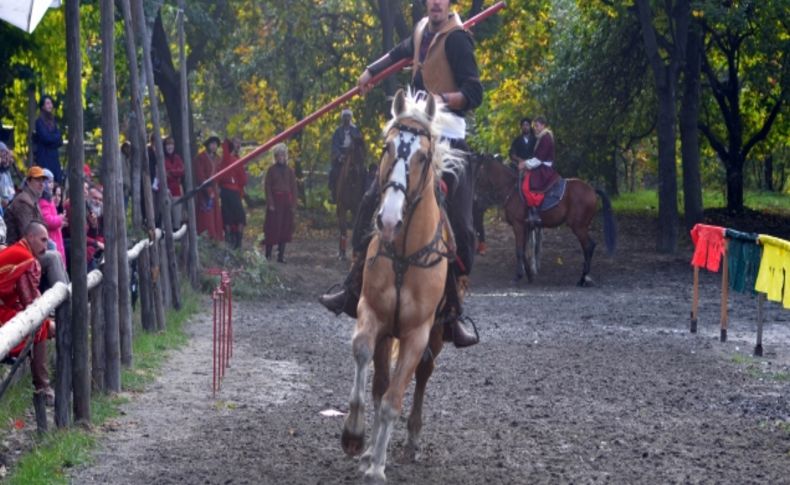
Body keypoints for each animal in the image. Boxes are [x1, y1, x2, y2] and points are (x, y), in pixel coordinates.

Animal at [342, 89, 464, 482]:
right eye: (388, 147)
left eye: (423, 156)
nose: (389, 220)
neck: (404, 253)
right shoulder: (371, 314)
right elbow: (364, 361)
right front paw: (355, 437)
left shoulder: (417, 334)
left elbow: (393, 401)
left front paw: (378, 467)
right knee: (380, 380)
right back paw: (368, 447)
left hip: (437, 335)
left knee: (421, 376)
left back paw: (410, 439)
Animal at [476, 153, 620, 286]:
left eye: (478, 172)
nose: (476, 197)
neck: (511, 189)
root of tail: (591, 189)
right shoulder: (525, 227)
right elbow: (525, 251)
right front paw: (529, 276)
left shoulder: (518, 226)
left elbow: (519, 251)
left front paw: (518, 276)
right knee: (588, 247)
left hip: (578, 226)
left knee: (589, 246)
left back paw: (582, 279)